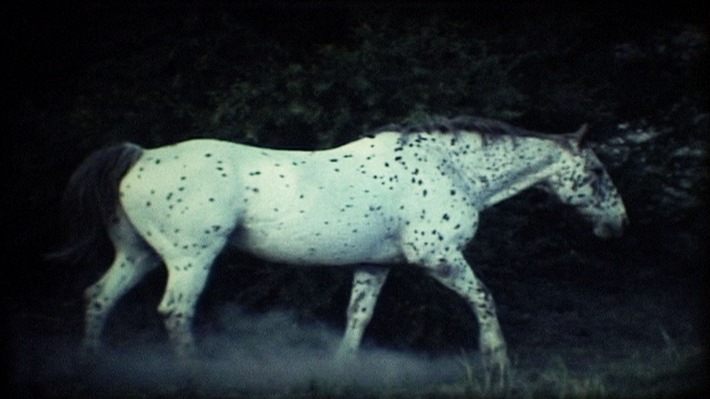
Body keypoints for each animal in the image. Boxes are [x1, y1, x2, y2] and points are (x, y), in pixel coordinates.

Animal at [59, 115, 628, 384]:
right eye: (598, 172)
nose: (619, 225)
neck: (451, 168)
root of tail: (139, 155)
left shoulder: (373, 266)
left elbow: (358, 318)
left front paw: (343, 370)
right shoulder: (440, 258)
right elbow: (485, 299)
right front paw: (498, 365)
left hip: (139, 255)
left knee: (98, 296)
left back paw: (91, 367)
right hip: (189, 258)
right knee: (175, 312)